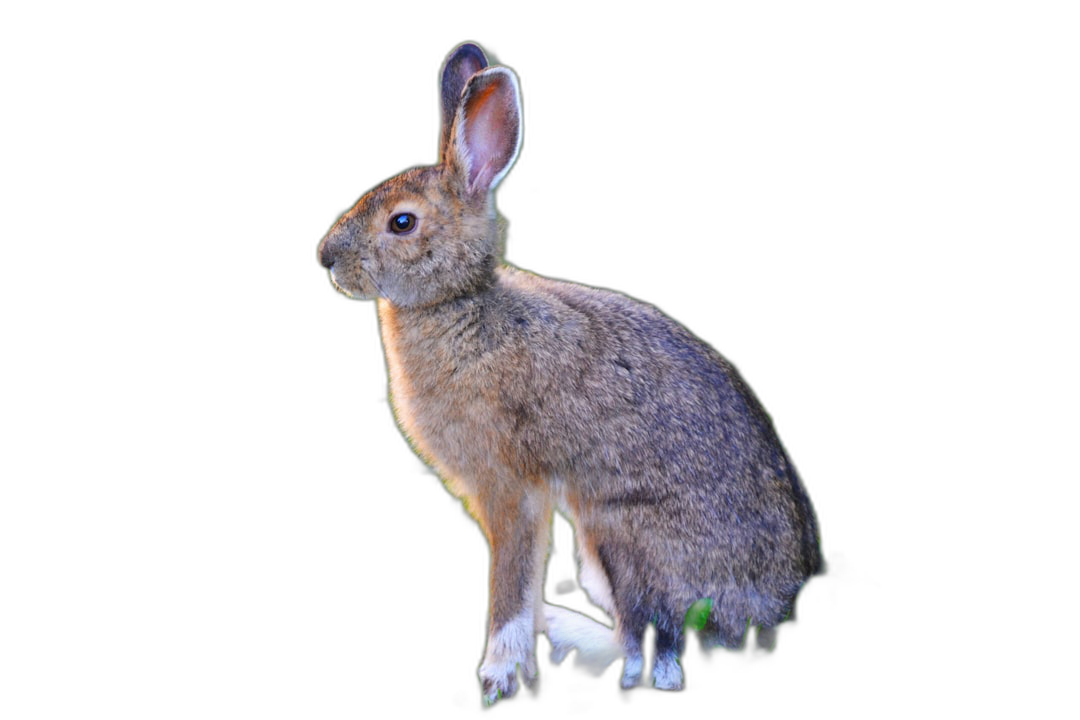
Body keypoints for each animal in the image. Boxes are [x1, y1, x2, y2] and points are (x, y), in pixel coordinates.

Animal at [317, 42, 825, 708]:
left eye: (402, 223)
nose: (325, 257)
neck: (462, 302)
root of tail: (778, 612)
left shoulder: (512, 491)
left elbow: (511, 585)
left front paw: (499, 676)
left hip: (624, 541)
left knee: (651, 654)